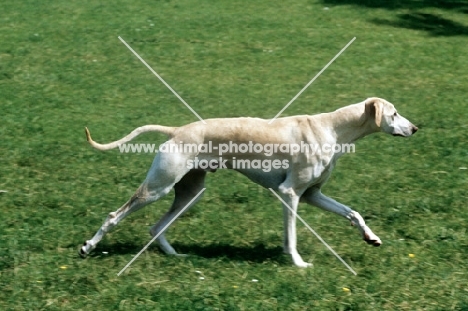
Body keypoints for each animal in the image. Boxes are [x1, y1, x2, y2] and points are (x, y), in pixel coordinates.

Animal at [79, 98, 416, 268]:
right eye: (395, 113)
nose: (415, 128)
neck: (331, 128)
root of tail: (177, 130)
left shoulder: (312, 194)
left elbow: (352, 213)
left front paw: (371, 237)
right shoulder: (290, 193)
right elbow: (291, 236)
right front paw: (297, 263)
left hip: (190, 192)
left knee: (156, 227)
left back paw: (176, 256)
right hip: (157, 188)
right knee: (114, 216)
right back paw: (88, 247)